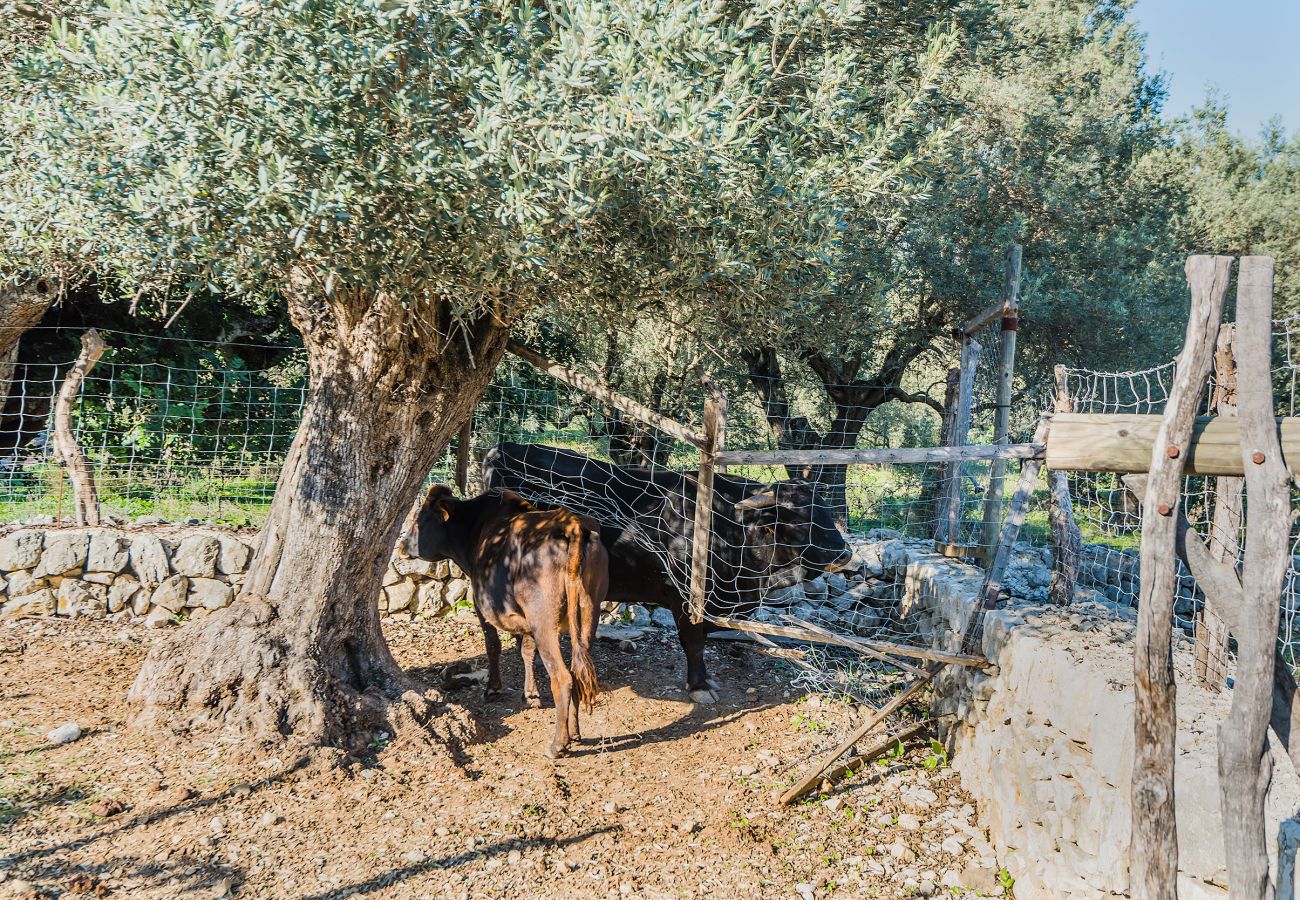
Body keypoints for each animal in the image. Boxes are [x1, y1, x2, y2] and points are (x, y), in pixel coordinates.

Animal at [405, 486, 608, 759]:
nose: (402, 545)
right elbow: (527, 650)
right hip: (588, 614)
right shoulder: (526, 621)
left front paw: (493, 689)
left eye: (419, 520)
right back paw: (575, 732)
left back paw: (558, 744)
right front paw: (531, 695)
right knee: (578, 671)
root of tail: (570, 522)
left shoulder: (481, 603)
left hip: (544, 620)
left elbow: (493, 645)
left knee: (563, 677)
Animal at [480, 442, 852, 702]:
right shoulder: (685, 597)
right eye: (796, 518)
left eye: (825, 510)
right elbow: (694, 642)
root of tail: (502, 449)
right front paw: (699, 685)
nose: (844, 553)